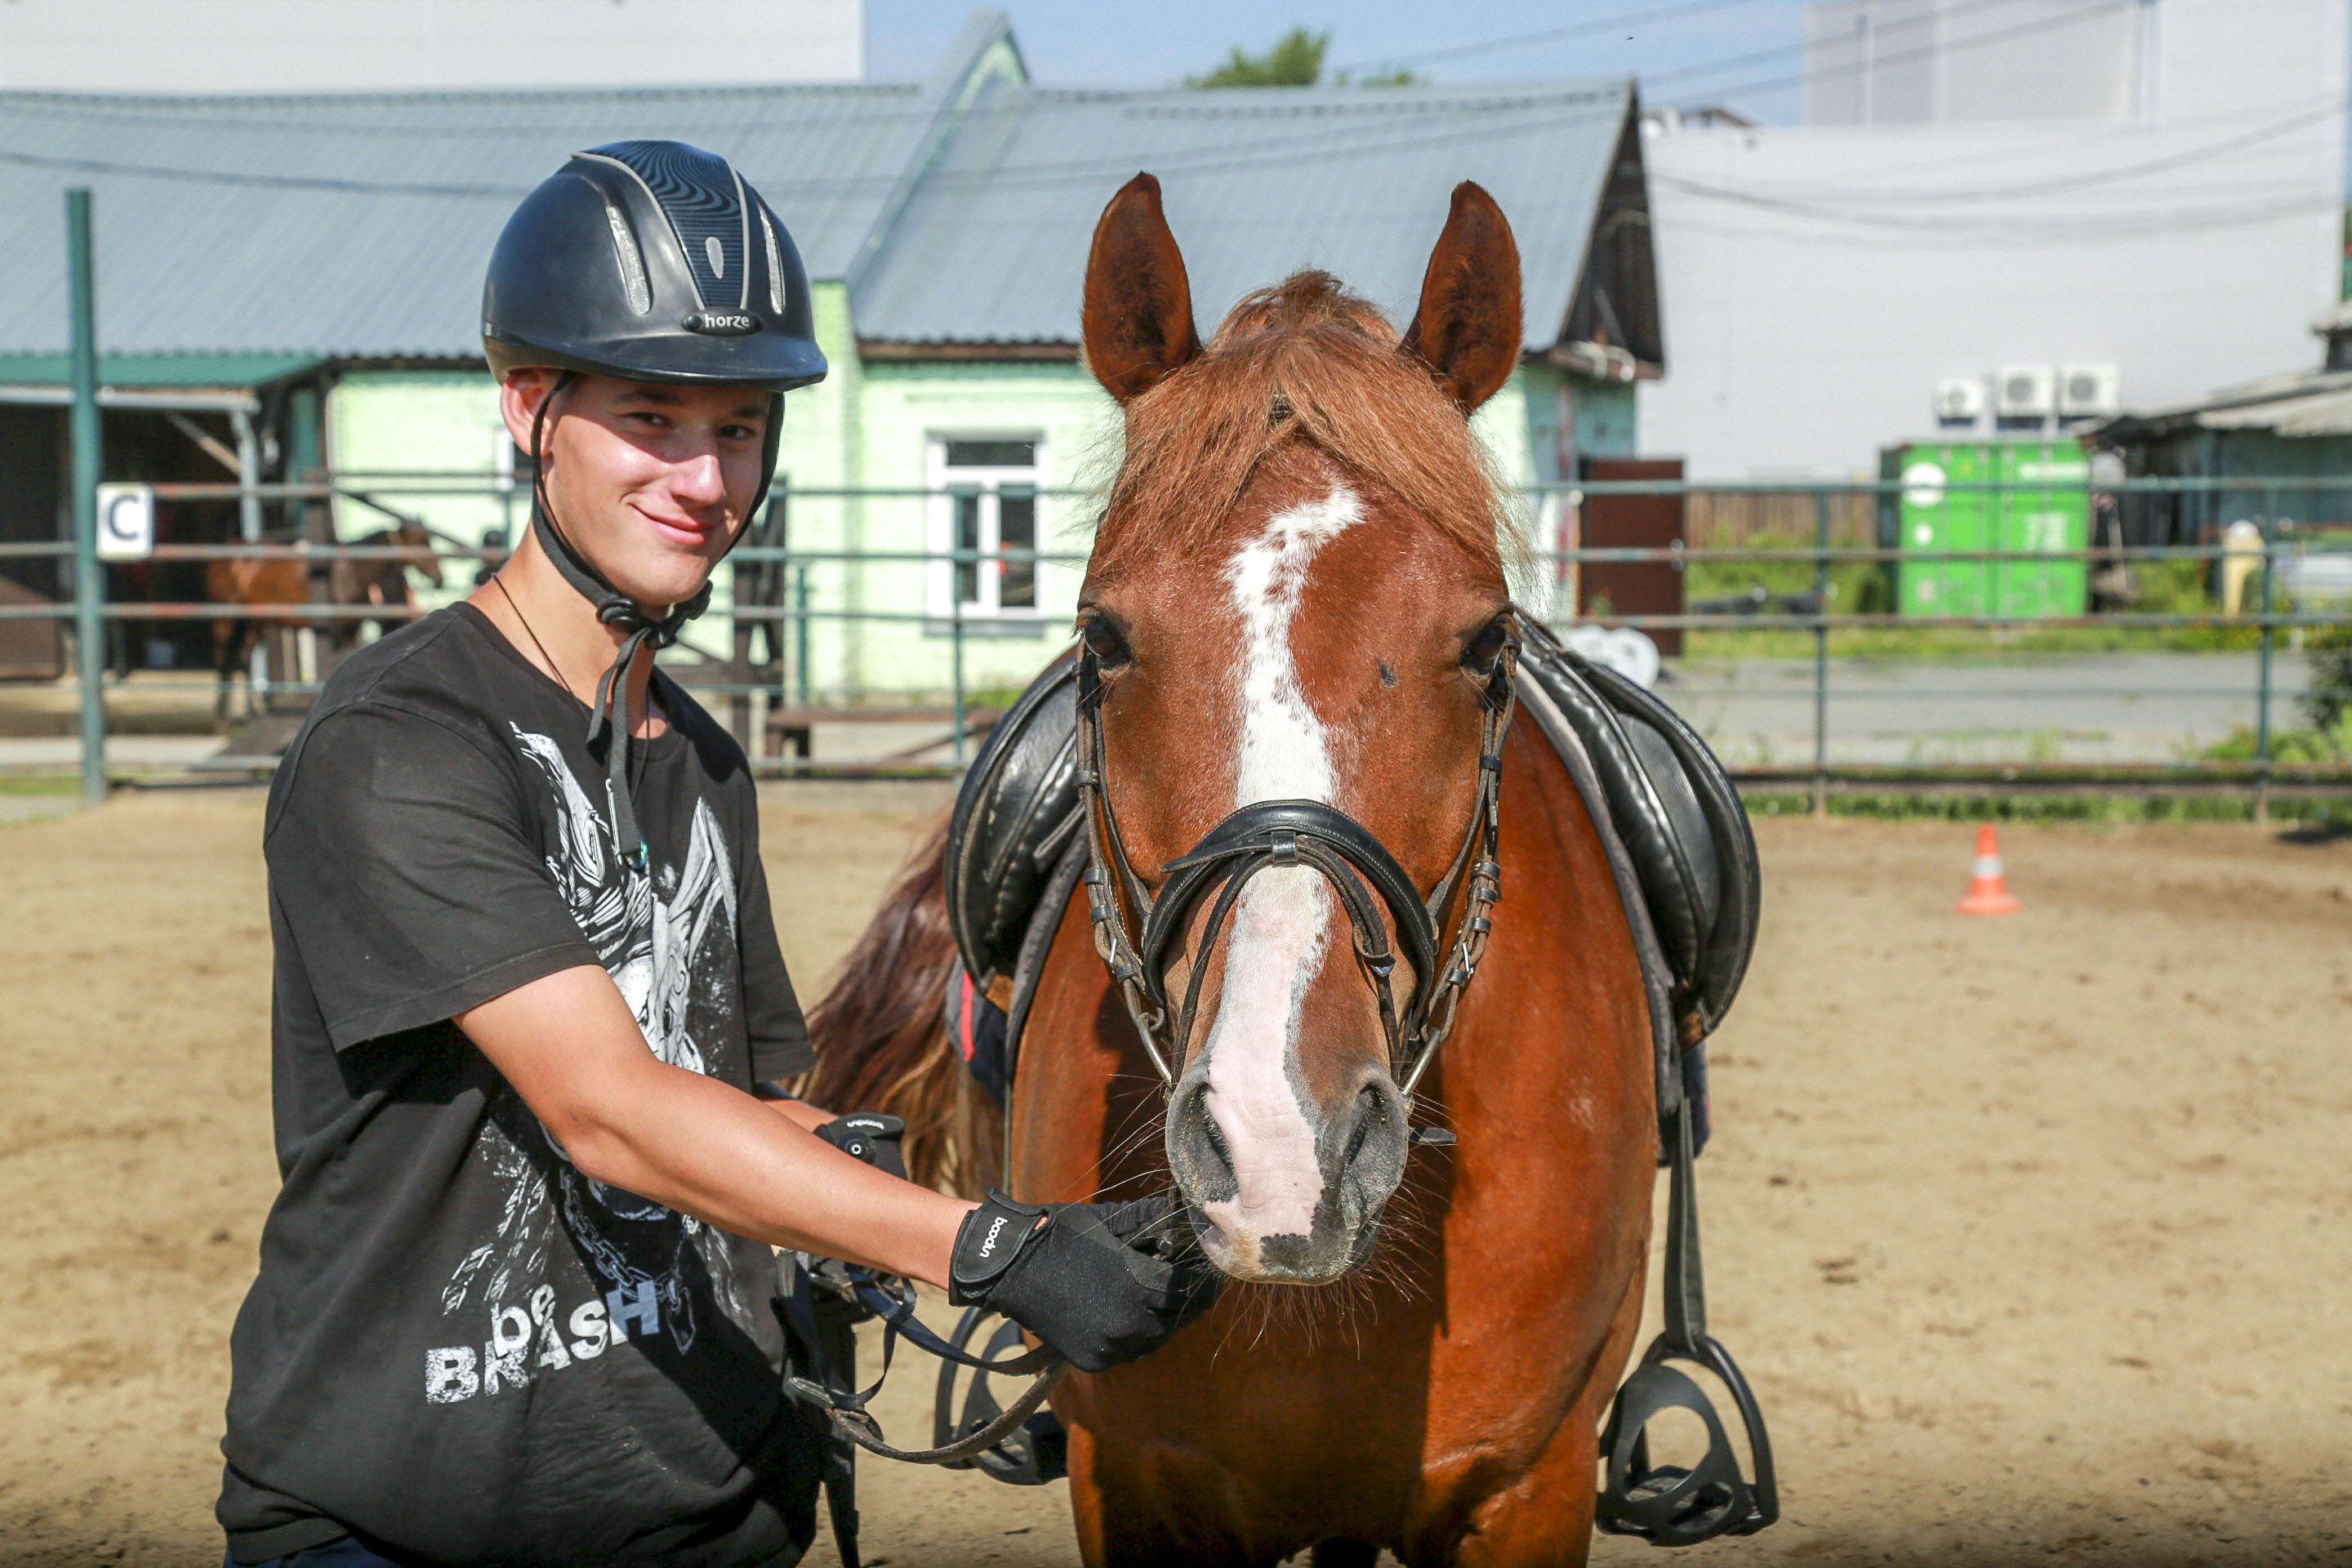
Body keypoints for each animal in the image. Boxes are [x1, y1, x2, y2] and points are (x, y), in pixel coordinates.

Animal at [208, 514, 445, 721]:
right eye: (419, 543)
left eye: (430, 541)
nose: (439, 579)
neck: (349, 571)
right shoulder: (337, 629)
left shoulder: (350, 628)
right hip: (227, 618)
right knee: (223, 657)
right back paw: (222, 716)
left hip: (252, 620)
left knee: (244, 659)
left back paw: (254, 712)